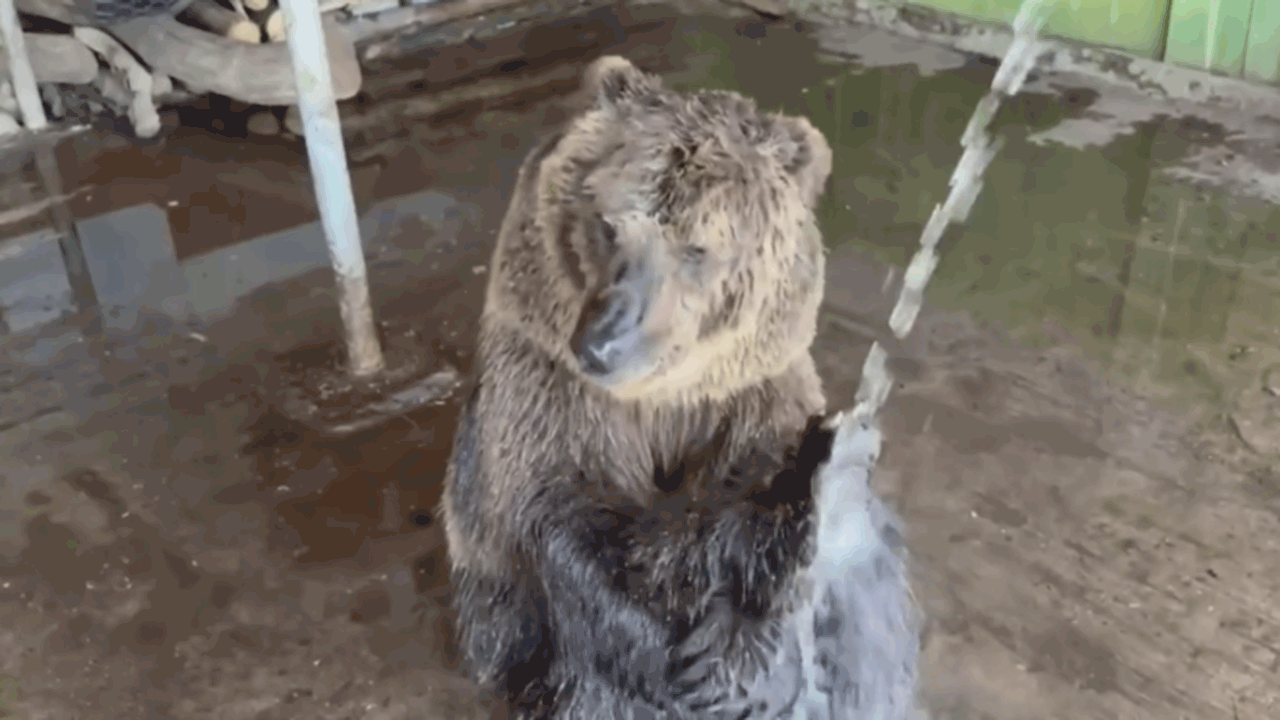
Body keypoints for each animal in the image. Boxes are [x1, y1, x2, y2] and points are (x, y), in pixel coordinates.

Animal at [440, 55, 911, 719]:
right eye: (606, 223)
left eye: (698, 248)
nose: (603, 341)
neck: (658, 400)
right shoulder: (543, 399)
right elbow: (581, 537)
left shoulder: (752, 400)